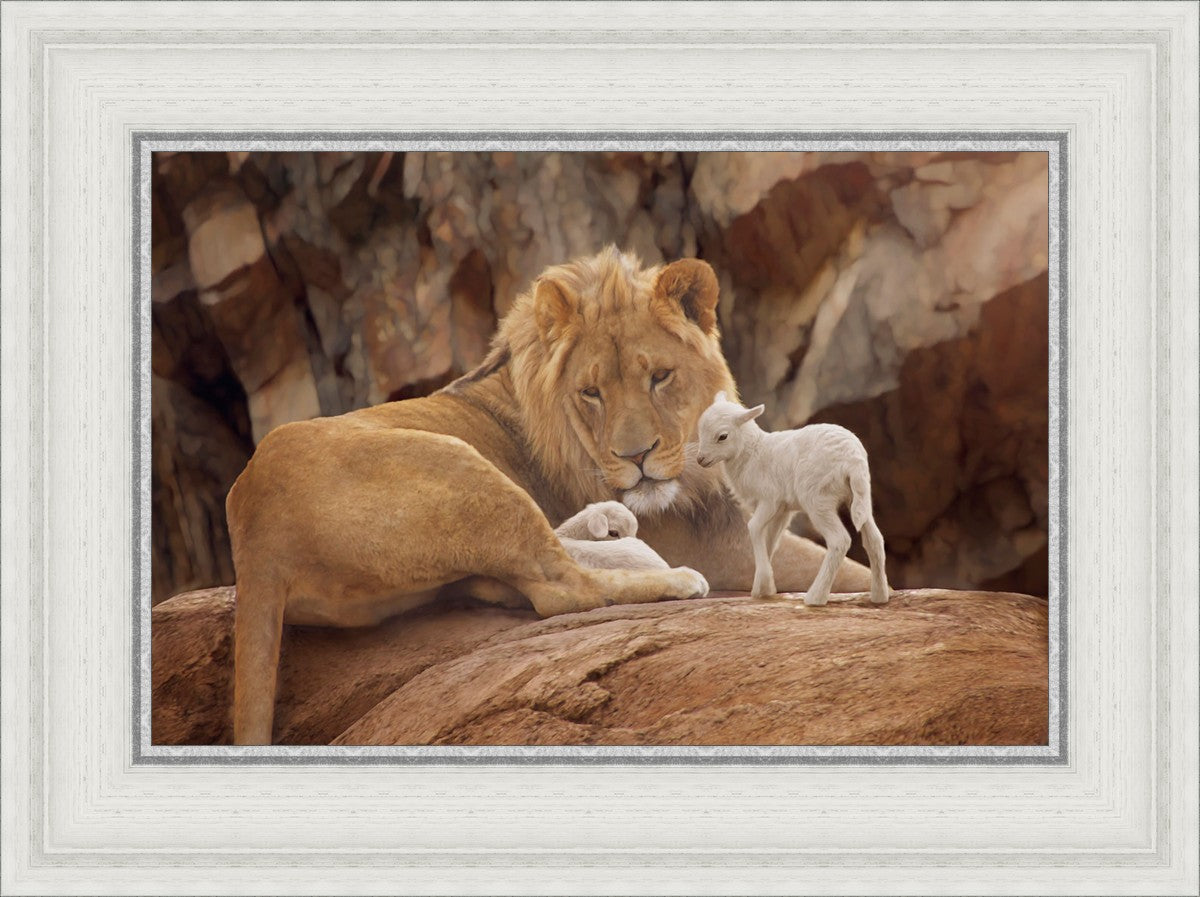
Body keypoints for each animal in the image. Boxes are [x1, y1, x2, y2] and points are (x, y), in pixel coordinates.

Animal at [695, 392, 890, 607]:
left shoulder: (769, 500)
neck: (752, 453)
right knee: (874, 539)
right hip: (859, 496)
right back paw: (879, 596)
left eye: (722, 436)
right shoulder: (782, 510)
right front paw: (763, 588)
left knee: (839, 540)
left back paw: (815, 597)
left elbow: (753, 528)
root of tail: (853, 459)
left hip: (817, 498)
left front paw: (764, 584)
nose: (700, 459)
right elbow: (770, 540)